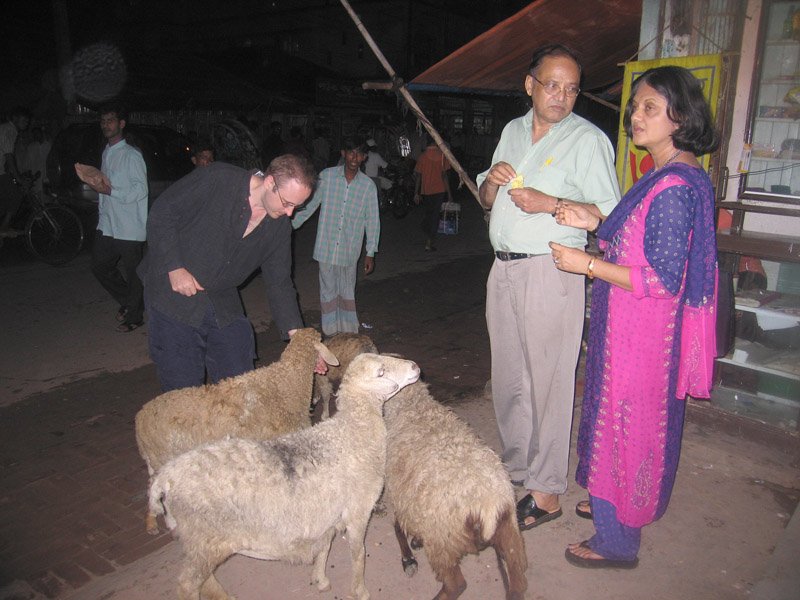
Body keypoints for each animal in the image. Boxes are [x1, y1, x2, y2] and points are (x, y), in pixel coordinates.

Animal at [148, 352, 422, 600]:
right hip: (204, 541)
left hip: (199, 543)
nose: (415, 366)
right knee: (189, 584)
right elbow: (358, 554)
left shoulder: (327, 511)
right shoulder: (357, 511)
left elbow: (325, 544)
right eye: (381, 372)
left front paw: (320, 579)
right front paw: (360, 591)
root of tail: (166, 476)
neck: (352, 433)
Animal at [384, 382, 528, 596]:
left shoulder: (400, 493)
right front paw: (415, 542)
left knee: (456, 585)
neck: (410, 405)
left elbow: (397, 526)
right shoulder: (413, 500)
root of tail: (488, 504)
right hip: (509, 530)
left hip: (442, 542)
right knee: (518, 579)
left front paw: (408, 559)